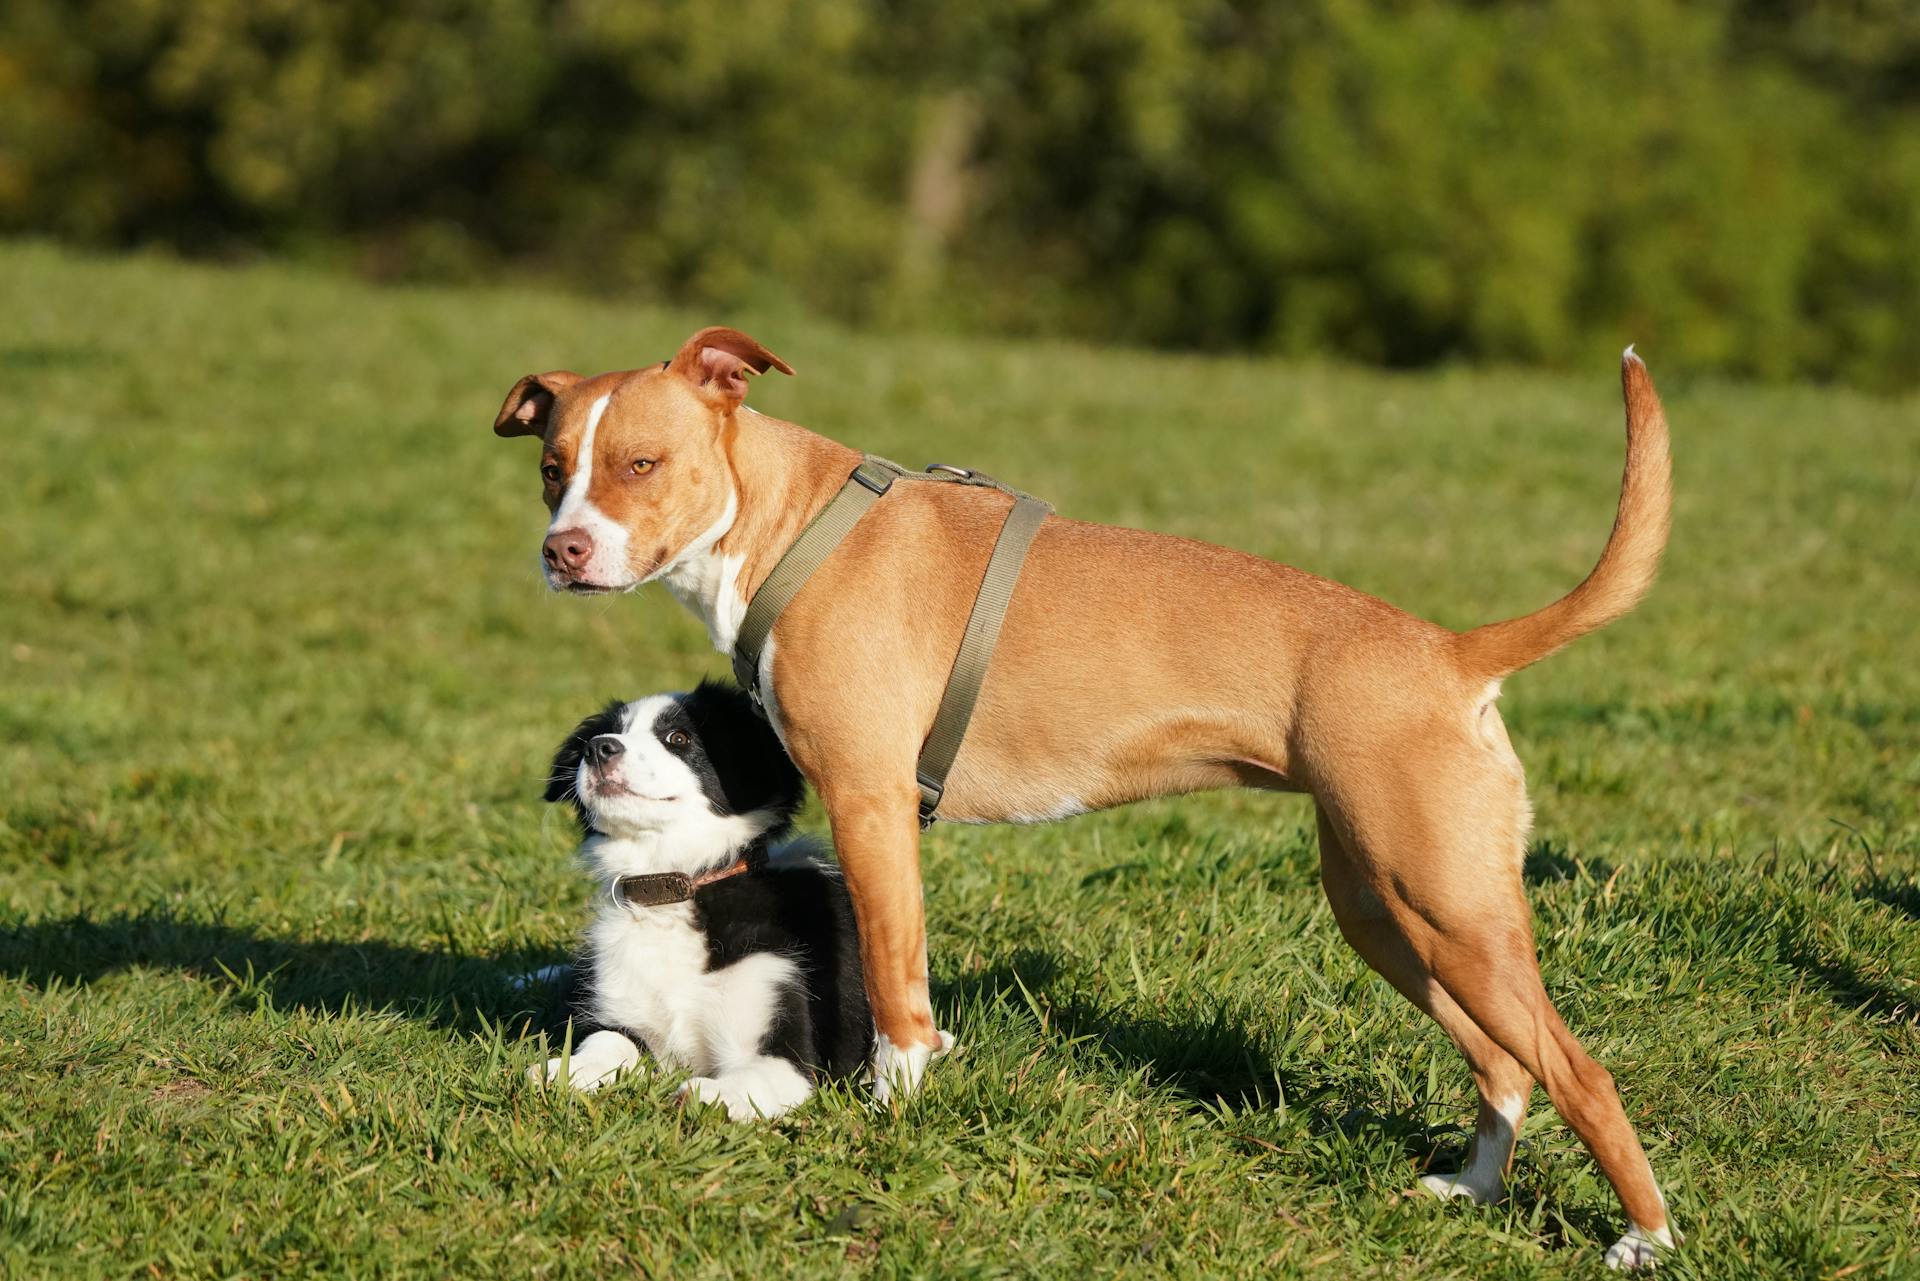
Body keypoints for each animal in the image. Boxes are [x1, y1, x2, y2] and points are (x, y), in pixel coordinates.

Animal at [537, 679, 875, 1121]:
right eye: (615, 731)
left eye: (678, 738)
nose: (598, 748)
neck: (676, 888)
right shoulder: (624, 1013)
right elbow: (608, 1043)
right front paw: (570, 1069)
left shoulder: (788, 1057)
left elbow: (747, 1082)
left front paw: (708, 1093)